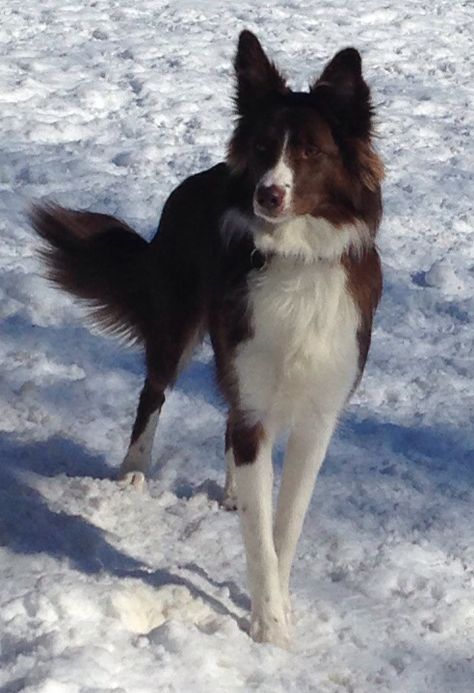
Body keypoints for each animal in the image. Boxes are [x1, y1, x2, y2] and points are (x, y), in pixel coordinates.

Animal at [29, 31, 384, 648]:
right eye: (263, 147)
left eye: (310, 152)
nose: (268, 195)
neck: (295, 256)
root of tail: (199, 178)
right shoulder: (253, 392)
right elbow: (260, 539)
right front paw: (268, 627)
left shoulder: (318, 412)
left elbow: (284, 528)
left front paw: (279, 605)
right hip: (178, 326)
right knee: (154, 391)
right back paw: (135, 470)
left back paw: (234, 489)